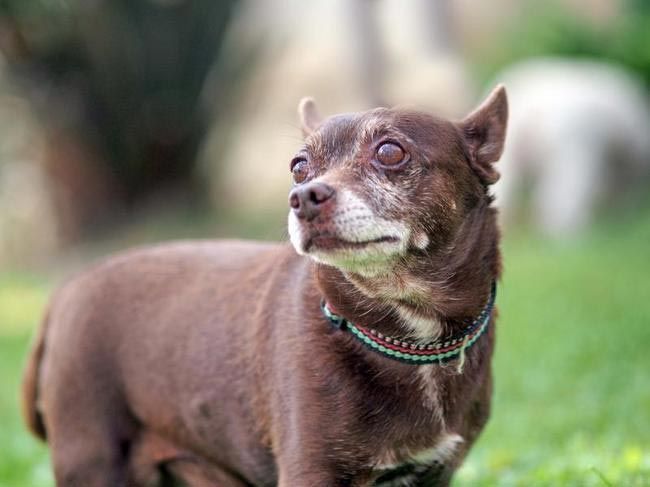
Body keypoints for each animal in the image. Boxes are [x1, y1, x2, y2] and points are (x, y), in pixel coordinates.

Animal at [21, 86, 506, 486]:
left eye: (390, 152)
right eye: (299, 166)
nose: (304, 196)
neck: (411, 338)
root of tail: (65, 292)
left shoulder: (433, 473)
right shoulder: (310, 471)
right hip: (94, 461)